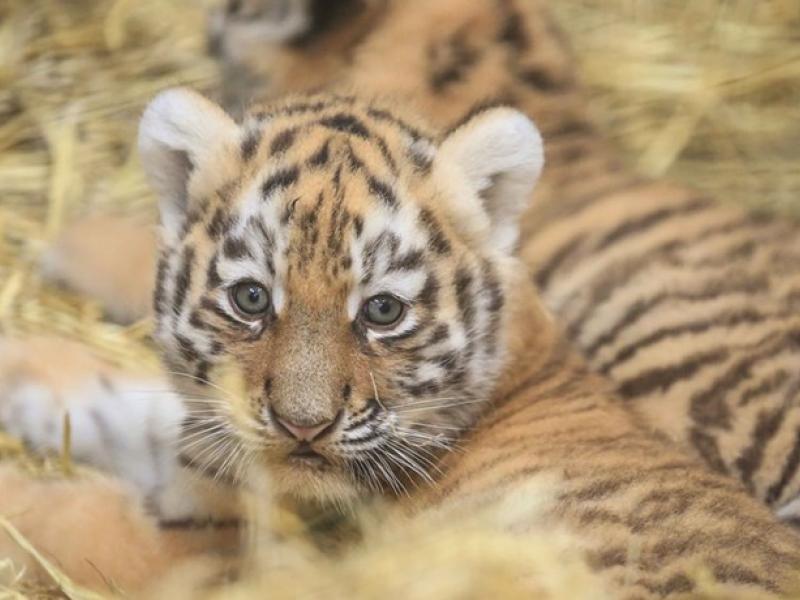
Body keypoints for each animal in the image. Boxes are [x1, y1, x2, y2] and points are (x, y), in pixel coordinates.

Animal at [6, 87, 800, 598]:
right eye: (252, 298)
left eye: (382, 311)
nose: (304, 426)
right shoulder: (211, 449)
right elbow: (120, 404)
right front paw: (21, 358)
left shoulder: (188, 548)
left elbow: (50, 515)